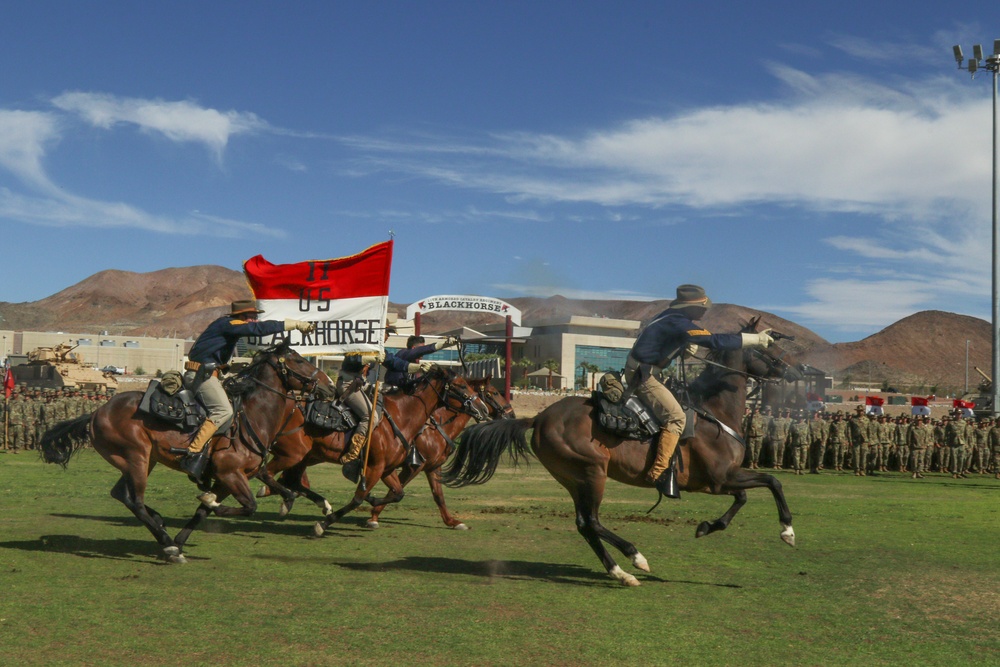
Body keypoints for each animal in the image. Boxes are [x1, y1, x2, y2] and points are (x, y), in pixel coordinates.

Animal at [40, 342, 332, 568]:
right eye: (298, 360)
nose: (329, 385)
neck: (253, 416)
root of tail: (96, 413)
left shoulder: (226, 479)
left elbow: (204, 512)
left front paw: (182, 539)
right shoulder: (230, 474)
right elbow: (248, 506)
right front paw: (199, 522)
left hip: (141, 462)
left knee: (121, 494)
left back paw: (163, 531)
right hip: (137, 459)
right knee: (134, 501)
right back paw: (166, 542)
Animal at [446, 320, 804, 588]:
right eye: (769, 348)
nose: (798, 370)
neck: (714, 413)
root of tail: (539, 417)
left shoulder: (720, 481)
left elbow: (745, 497)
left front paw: (707, 526)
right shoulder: (719, 479)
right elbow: (772, 482)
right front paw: (787, 531)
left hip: (573, 479)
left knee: (584, 524)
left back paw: (620, 572)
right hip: (593, 473)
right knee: (592, 521)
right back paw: (635, 558)